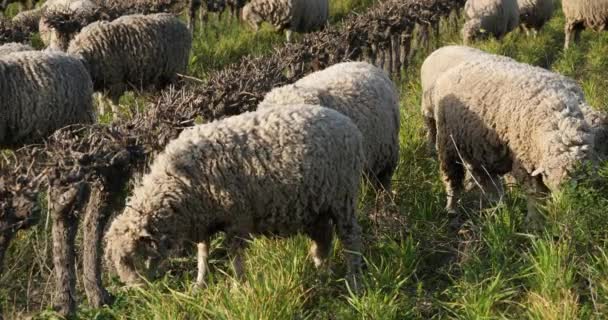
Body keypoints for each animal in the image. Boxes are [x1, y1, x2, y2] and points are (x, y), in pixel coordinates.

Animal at [103, 104, 366, 290]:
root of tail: (348, 125)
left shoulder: (237, 219)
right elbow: (203, 253)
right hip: (315, 206)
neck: (178, 183)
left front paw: (238, 286)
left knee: (351, 238)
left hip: (343, 198)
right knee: (324, 239)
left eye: (131, 256)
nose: (137, 289)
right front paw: (200, 284)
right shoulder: (204, 221)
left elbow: (235, 257)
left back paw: (353, 281)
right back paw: (322, 275)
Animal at [426, 58, 596, 228]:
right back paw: (452, 209)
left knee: (488, 182)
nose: (565, 210)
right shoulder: (525, 163)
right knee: (452, 181)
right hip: (448, 145)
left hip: (479, 149)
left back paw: (498, 207)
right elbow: (535, 195)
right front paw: (534, 223)